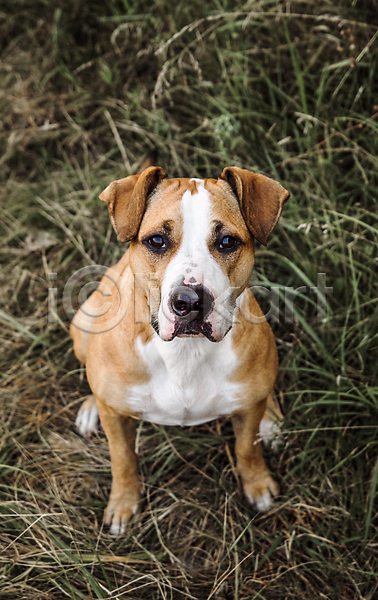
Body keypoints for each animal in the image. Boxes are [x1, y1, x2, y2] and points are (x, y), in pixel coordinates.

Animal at [71, 155, 290, 536]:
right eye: (157, 240)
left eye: (228, 241)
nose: (189, 302)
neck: (186, 353)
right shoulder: (117, 420)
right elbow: (122, 457)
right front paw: (123, 503)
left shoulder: (247, 410)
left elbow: (247, 447)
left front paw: (258, 484)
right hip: (82, 324)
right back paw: (89, 408)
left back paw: (271, 419)